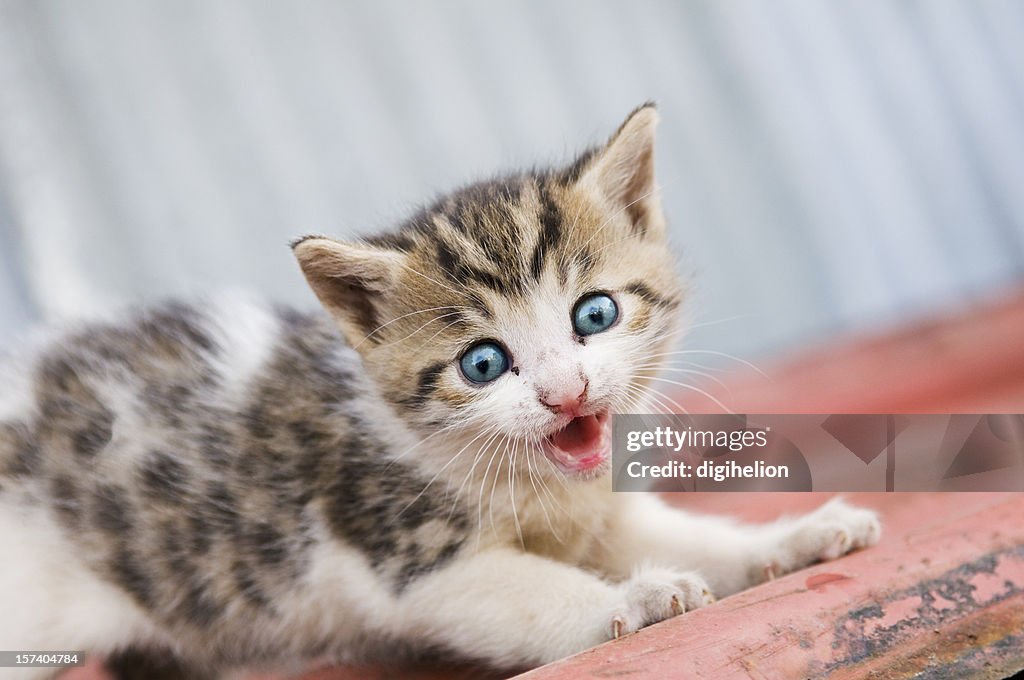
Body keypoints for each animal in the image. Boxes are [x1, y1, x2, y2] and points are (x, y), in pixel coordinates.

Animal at [0, 103, 880, 675]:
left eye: (594, 314)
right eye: (483, 365)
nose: (564, 393)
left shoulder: (600, 514)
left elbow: (692, 539)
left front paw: (793, 539)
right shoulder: (407, 553)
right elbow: (527, 593)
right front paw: (631, 601)